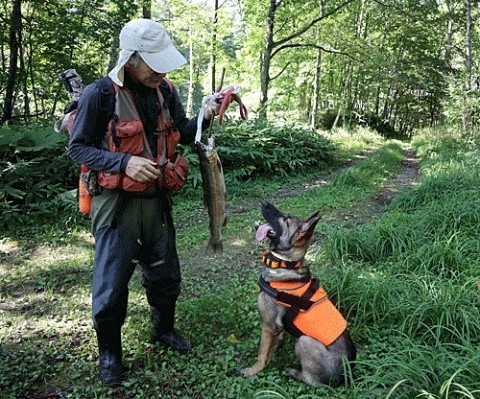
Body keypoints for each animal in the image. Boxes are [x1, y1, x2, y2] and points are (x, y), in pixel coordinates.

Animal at [240, 202, 356, 390]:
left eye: (286, 219)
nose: (264, 202)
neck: (286, 264)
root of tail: (345, 377)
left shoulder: (267, 325)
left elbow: (262, 353)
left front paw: (253, 370)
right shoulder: (275, 328)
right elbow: (273, 344)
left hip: (304, 341)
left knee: (313, 382)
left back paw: (294, 372)